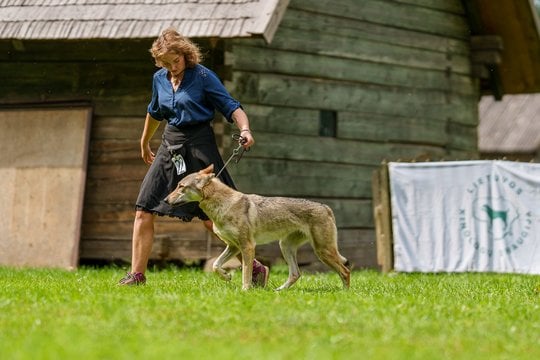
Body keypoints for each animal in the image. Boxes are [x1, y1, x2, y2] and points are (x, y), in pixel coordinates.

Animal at [165, 165, 350, 292]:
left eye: (181, 186)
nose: (165, 200)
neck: (223, 206)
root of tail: (326, 207)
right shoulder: (233, 246)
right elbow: (216, 265)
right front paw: (226, 276)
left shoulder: (247, 246)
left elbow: (246, 272)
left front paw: (245, 290)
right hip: (286, 247)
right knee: (296, 274)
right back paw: (278, 291)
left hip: (322, 251)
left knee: (345, 271)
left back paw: (345, 294)